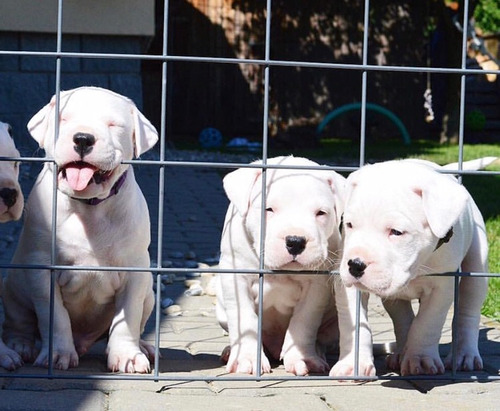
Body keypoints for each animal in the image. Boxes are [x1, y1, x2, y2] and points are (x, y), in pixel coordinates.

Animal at [1, 87, 158, 374]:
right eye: (64, 119)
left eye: (113, 124)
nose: (83, 138)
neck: (88, 208)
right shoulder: (43, 269)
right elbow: (55, 316)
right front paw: (59, 355)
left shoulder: (135, 272)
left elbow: (128, 317)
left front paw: (127, 356)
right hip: (14, 288)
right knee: (19, 321)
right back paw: (20, 345)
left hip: (149, 294)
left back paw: (144, 347)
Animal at [215, 157, 376, 376]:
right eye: (268, 209)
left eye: (321, 213)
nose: (295, 241)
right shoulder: (236, 275)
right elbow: (245, 321)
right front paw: (245, 359)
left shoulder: (316, 286)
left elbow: (303, 321)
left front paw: (302, 358)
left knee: (320, 339)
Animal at [338, 159, 494, 378]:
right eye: (349, 225)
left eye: (396, 232)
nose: (355, 264)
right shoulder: (349, 288)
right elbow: (355, 324)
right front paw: (354, 364)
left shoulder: (441, 289)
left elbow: (427, 323)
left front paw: (420, 360)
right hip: (393, 296)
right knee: (403, 319)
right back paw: (400, 354)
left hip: (477, 267)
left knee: (468, 312)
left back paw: (464, 355)